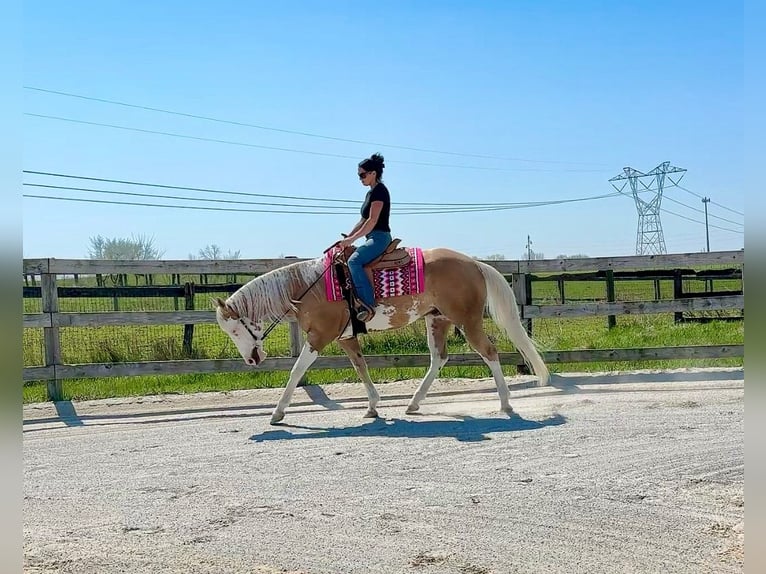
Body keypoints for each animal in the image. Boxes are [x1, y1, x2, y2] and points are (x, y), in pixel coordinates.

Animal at [214, 246, 549, 424]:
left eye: (234, 329)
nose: (251, 360)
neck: (308, 287)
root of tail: (476, 264)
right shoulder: (345, 337)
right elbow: (360, 367)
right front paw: (373, 406)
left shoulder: (320, 336)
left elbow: (296, 371)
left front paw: (277, 413)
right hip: (437, 320)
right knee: (438, 359)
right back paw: (413, 404)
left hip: (467, 321)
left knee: (489, 352)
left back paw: (505, 404)